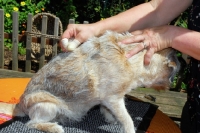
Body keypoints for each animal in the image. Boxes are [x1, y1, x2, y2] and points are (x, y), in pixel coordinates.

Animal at [0, 30, 180, 132]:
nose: (171, 83)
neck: (130, 57)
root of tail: (19, 104)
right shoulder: (114, 99)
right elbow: (128, 119)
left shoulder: (107, 100)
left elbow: (108, 111)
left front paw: (110, 118)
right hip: (47, 105)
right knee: (32, 123)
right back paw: (54, 127)